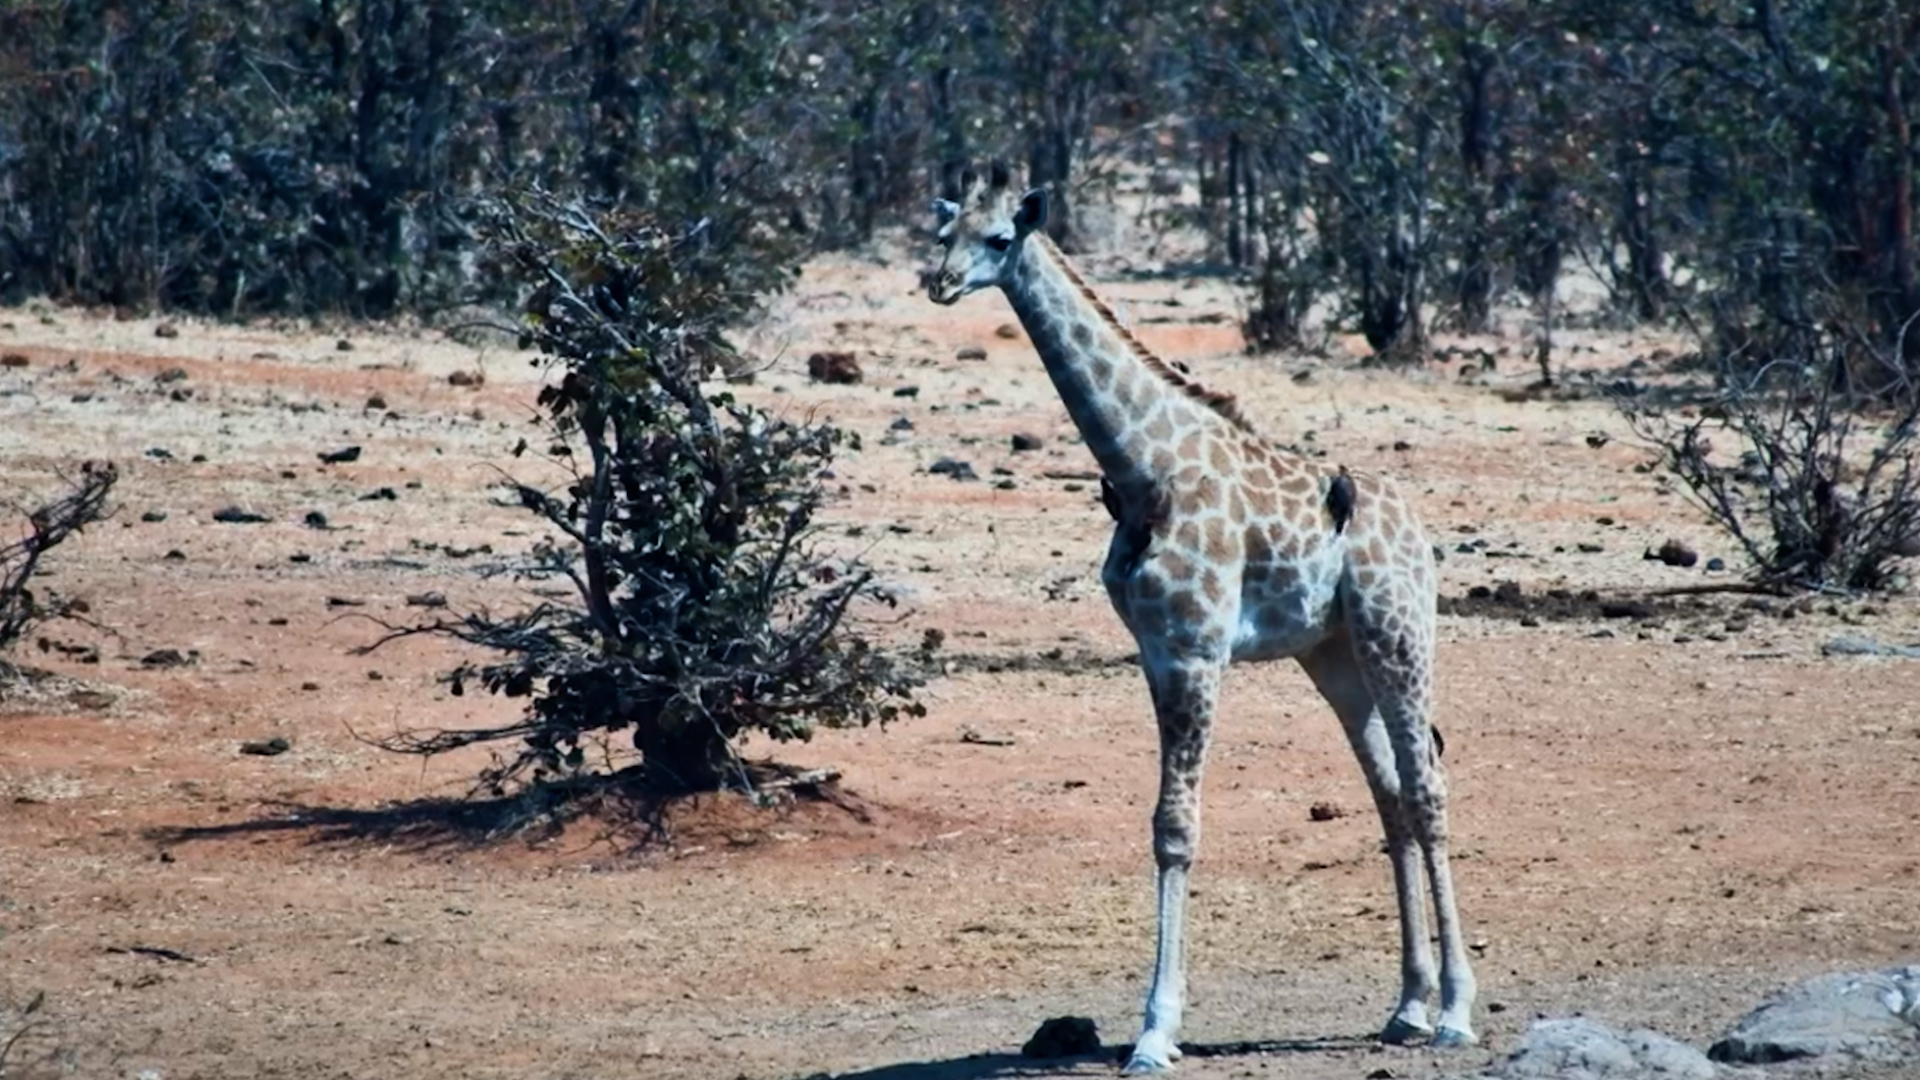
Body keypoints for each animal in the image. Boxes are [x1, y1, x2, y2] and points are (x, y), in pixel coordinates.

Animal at [925, 163, 1477, 1073]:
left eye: (999, 237)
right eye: (944, 232)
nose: (936, 282)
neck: (1144, 468)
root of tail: (1416, 525)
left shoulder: (1197, 649)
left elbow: (1177, 827)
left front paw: (1155, 1031)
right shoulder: (1155, 652)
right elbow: (1160, 827)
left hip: (1399, 633)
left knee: (1428, 788)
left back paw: (1459, 1010)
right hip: (1334, 655)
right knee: (1391, 795)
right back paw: (1407, 1007)